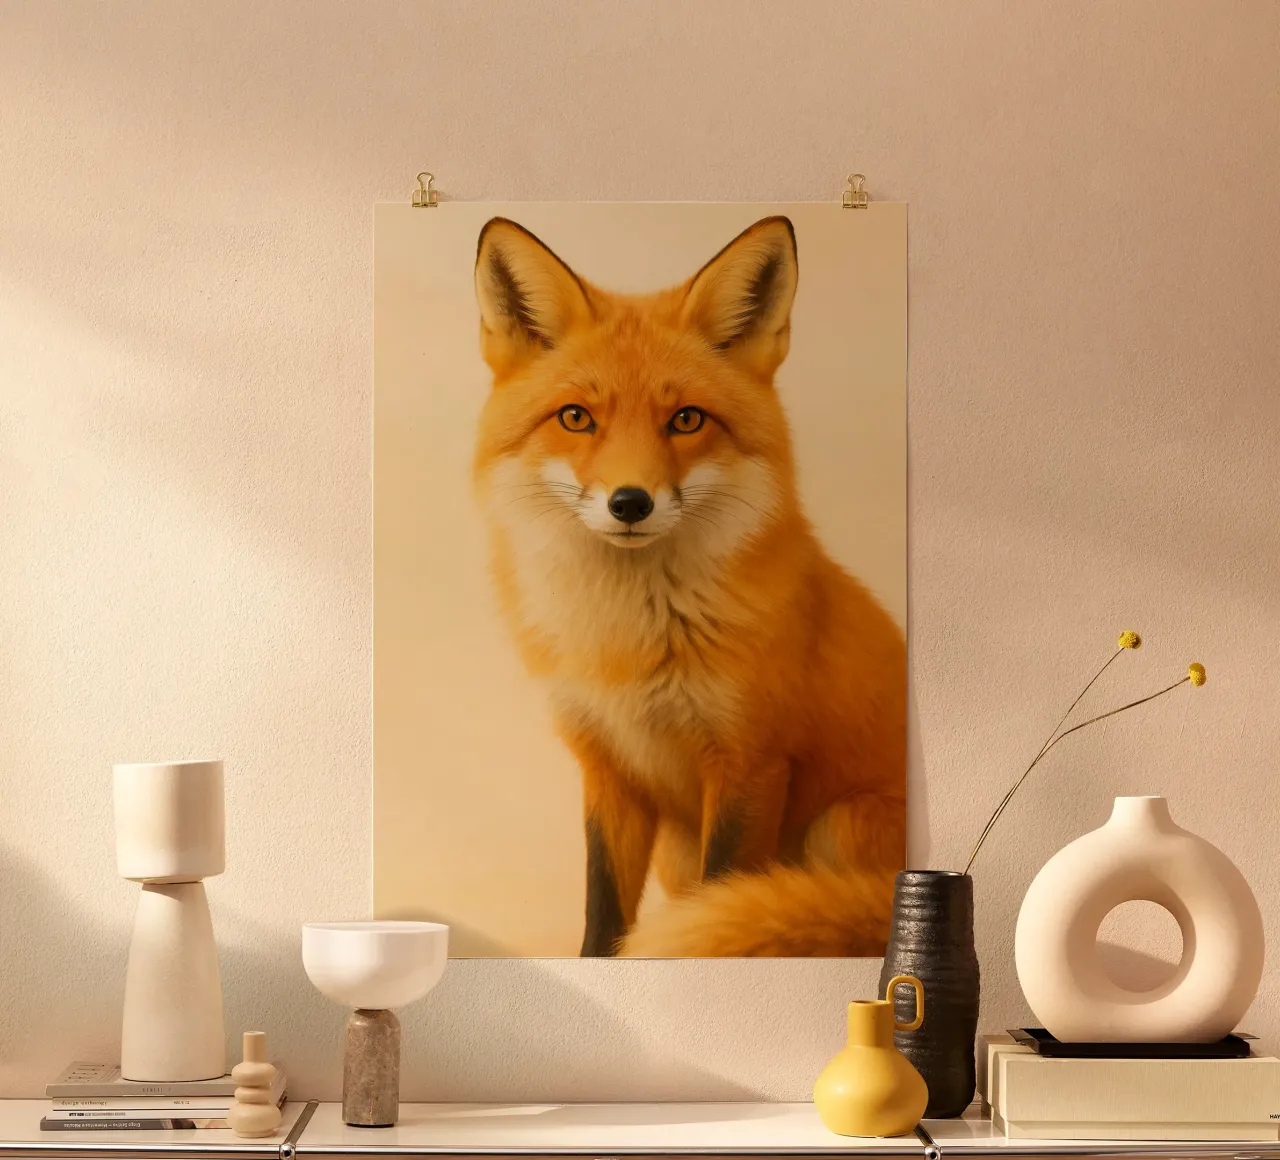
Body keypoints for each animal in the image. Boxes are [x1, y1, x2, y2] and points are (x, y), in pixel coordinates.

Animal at [471, 214, 906, 957]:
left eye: (687, 420)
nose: (630, 502)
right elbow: (604, 912)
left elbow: (724, 893)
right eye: (576, 417)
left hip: (841, 825)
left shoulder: (749, 763)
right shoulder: (607, 770)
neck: (628, 640)